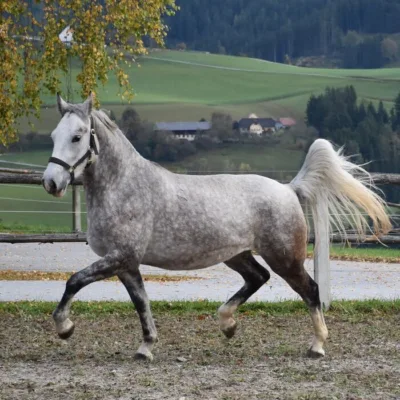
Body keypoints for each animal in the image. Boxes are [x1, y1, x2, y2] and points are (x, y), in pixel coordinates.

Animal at [42, 95, 390, 360]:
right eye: (53, 136)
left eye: (77, 136)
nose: (51, 183)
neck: (125, 187)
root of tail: (288, 189)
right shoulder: (126, 264)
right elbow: (141, 303)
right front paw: (146, 348)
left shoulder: (119, 257)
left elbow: (74, 281)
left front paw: (65, 328)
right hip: (237, 255)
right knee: (258, 277)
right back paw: (228, 324)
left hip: (285, 258)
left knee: (310, 290)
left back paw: (316, 346)